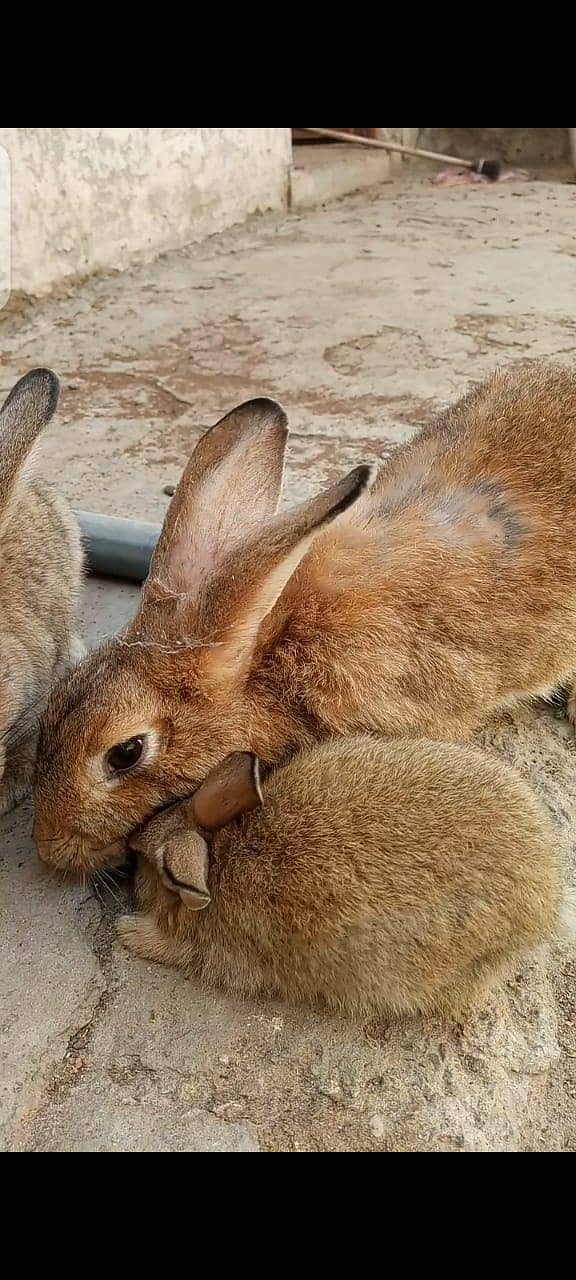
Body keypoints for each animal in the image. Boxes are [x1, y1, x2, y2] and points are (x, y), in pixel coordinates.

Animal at [120, 735, 571, 1019]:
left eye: (146, 864)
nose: (130, 846)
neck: (219, 857)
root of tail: (547, 898)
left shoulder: (220, 955)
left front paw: (129, 933)